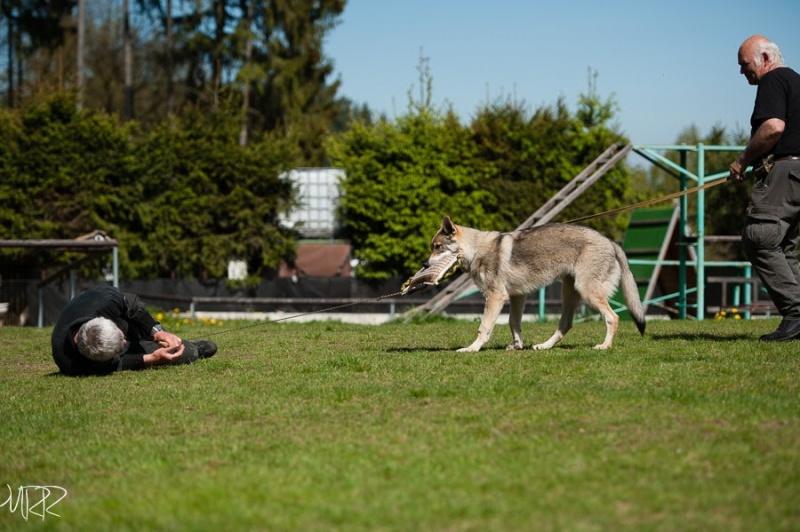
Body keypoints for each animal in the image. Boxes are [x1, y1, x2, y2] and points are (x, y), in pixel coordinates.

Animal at [428, 214, 648, 352]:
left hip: (587, 292)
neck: (476, 249)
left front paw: (472, 348)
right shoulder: (517, 296)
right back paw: (544, 346)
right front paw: (517, 346)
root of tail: (611, 242)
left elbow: (484, 327)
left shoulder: (496, 296)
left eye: (437, 247)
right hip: (569, 295)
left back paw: (604, 346)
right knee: (565, 325)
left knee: (613, 317)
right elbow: (513, 323)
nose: (424, 263)